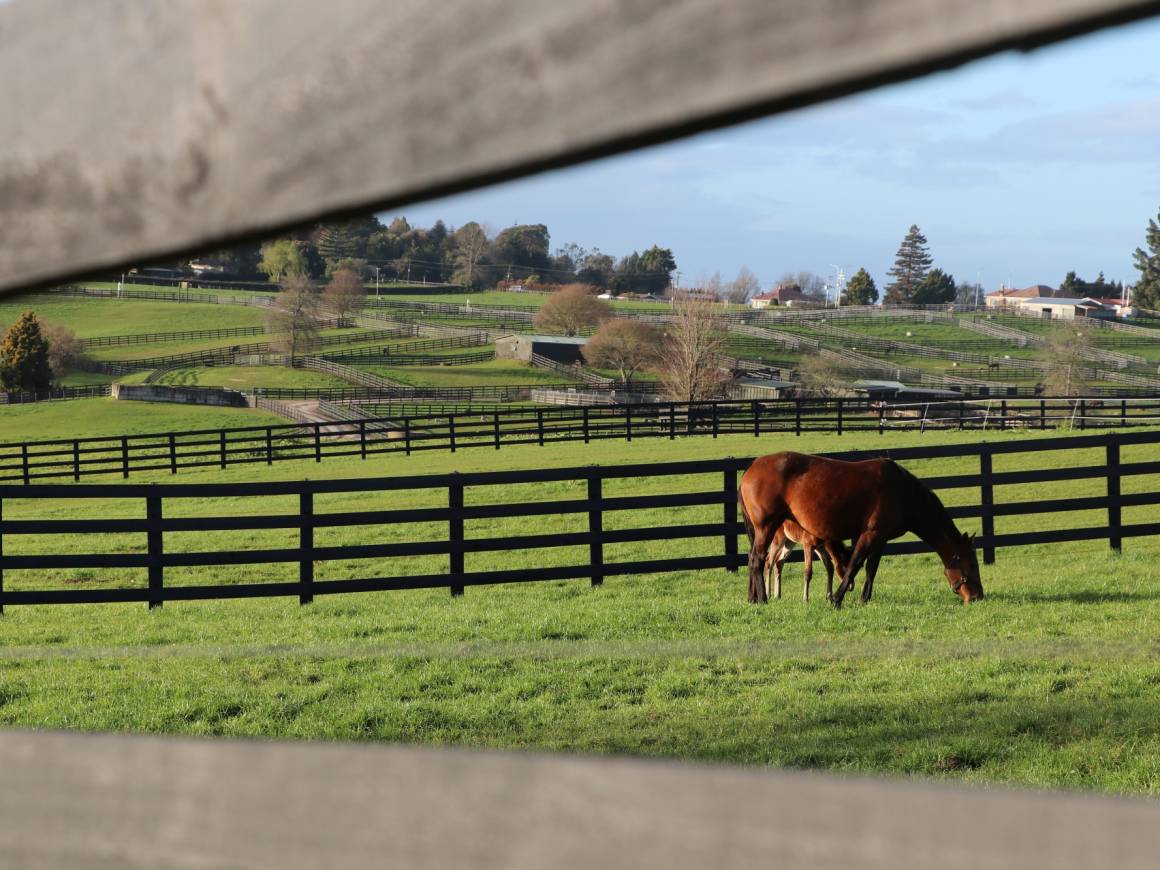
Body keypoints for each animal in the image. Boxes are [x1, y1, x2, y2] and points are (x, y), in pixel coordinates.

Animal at [742, 452, 979, 607]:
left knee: (755, 559)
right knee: (758, 559)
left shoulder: (881, 538)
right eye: (971, 566)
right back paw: (762, 599)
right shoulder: (869, 535)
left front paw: (864, 598)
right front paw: (837, 599)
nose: (977, 597)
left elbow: (871, 569)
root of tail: (750, 469)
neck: (904, 492)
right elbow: (854, 565)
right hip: (766, 528)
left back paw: (753, 598)